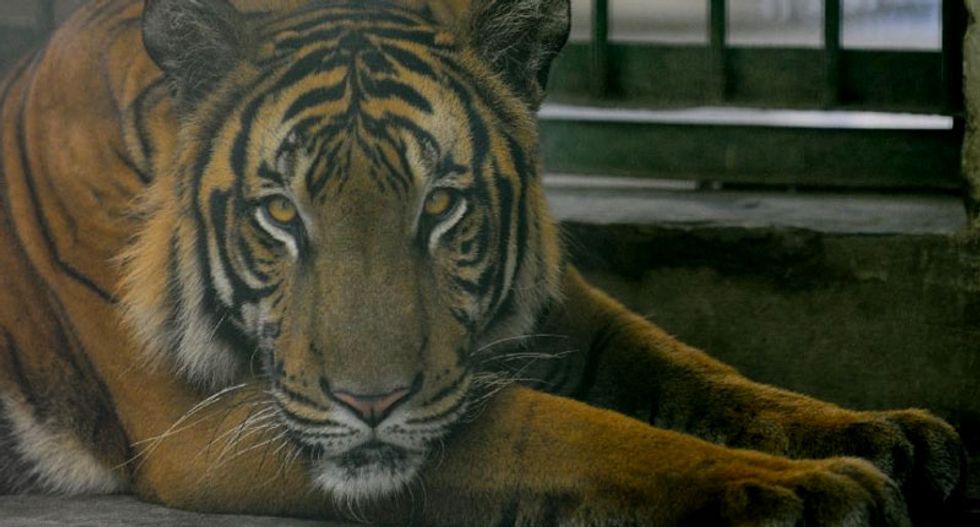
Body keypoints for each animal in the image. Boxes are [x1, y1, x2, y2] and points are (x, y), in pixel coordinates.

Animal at [0, 0, 966, 524]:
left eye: (440, 205)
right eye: (280, 213)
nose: (372, 402)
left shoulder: (566, 315)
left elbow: (696, 373)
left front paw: (885, 434)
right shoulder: (211, 421)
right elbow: (558, 428)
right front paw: (805, 490)